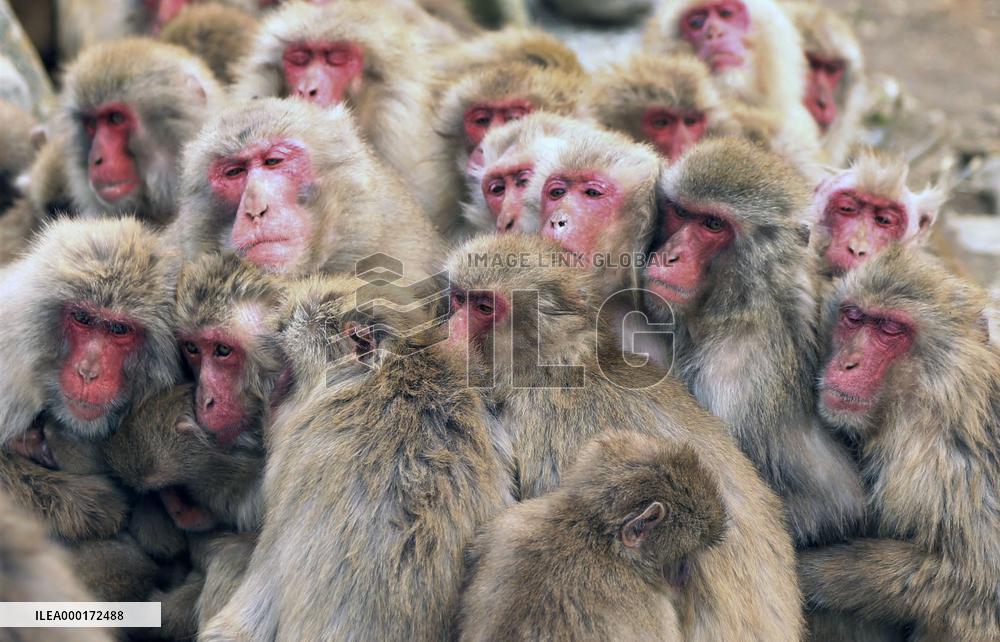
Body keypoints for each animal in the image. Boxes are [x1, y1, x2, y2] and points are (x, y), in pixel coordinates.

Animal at [799, 246, 1000, 641]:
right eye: (854, 317)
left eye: (890, 330)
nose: (848, 363)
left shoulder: (935, 457)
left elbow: (974, 576)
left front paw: (813, 574)